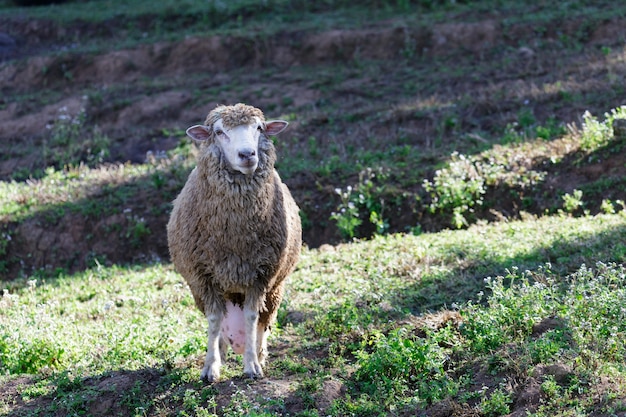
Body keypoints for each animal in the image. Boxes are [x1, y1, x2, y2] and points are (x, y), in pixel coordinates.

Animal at [167, 102, 302, 382]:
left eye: (259, 128)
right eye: (219, 132)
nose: (247, 154)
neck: (234, 238)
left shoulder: (260, 275)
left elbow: (251, 318)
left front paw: (252, 365)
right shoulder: (203, 278)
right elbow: (214, 320)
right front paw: (210, 367)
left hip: (275, 290)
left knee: (263, 321)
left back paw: (259, 353)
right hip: (205, 292)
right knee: (219, 322)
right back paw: (220, 352)